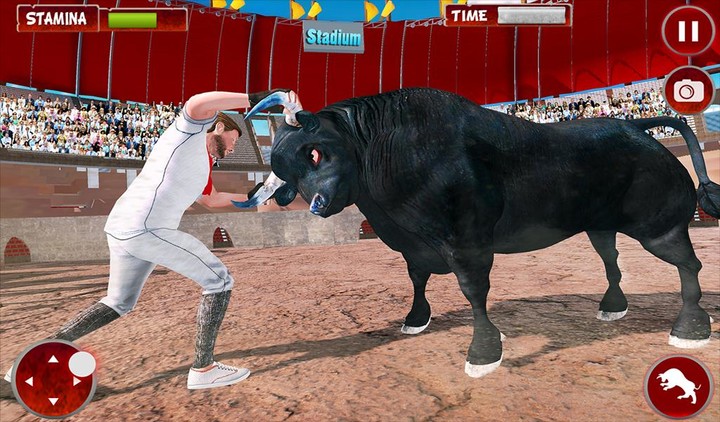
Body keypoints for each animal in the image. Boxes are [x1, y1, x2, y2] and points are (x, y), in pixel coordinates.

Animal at [237, 88, 719, 377]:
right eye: (285, 173)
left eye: (314, 152)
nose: (315, 204)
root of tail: (632, 126)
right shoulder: (414, 245)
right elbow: (417, 279)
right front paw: (415, 320)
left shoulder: (466, 242)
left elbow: (474, 291)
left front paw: (484, 353)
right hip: (600, 226)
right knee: (613, 260)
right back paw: (612, 308)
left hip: (660, 226)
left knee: (689, 265)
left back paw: (691, 328)